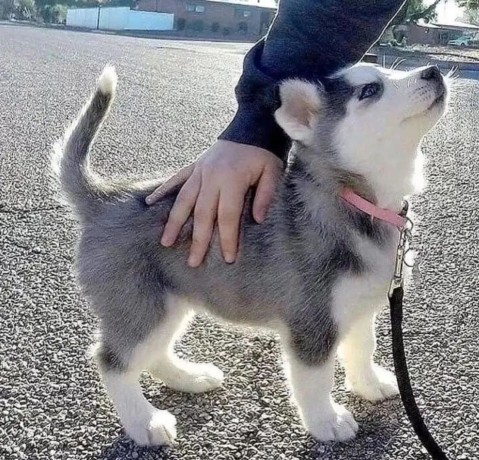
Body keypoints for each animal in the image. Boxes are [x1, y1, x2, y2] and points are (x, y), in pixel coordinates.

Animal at [53, 63, 450, 444]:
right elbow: (315, 378)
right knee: (112, 361)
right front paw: (326, 421)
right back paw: (145, 423)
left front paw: (370, 384)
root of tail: (107, 198)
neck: (356, 200)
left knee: (153, 353)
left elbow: (363, 347)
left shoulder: (360, 305)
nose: (433, 71)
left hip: (169, 302)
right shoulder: (311, 319)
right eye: (370, 90)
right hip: (141, 304)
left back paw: (189, 377)